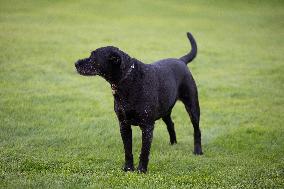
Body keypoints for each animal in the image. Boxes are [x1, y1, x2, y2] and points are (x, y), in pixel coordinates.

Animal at [75, 32, 203, 173]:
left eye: (93, 57)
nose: (76, 63)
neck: (128, 79)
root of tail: (181, 60)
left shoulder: (147, 126)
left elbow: (144, 151)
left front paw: (141, 170)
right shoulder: (124, 124)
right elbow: (127, 150)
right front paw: (128, 168)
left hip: (192, 106)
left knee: (197, 129)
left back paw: (198, 151)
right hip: (165, 111)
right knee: (171, 124)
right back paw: (173, 144)